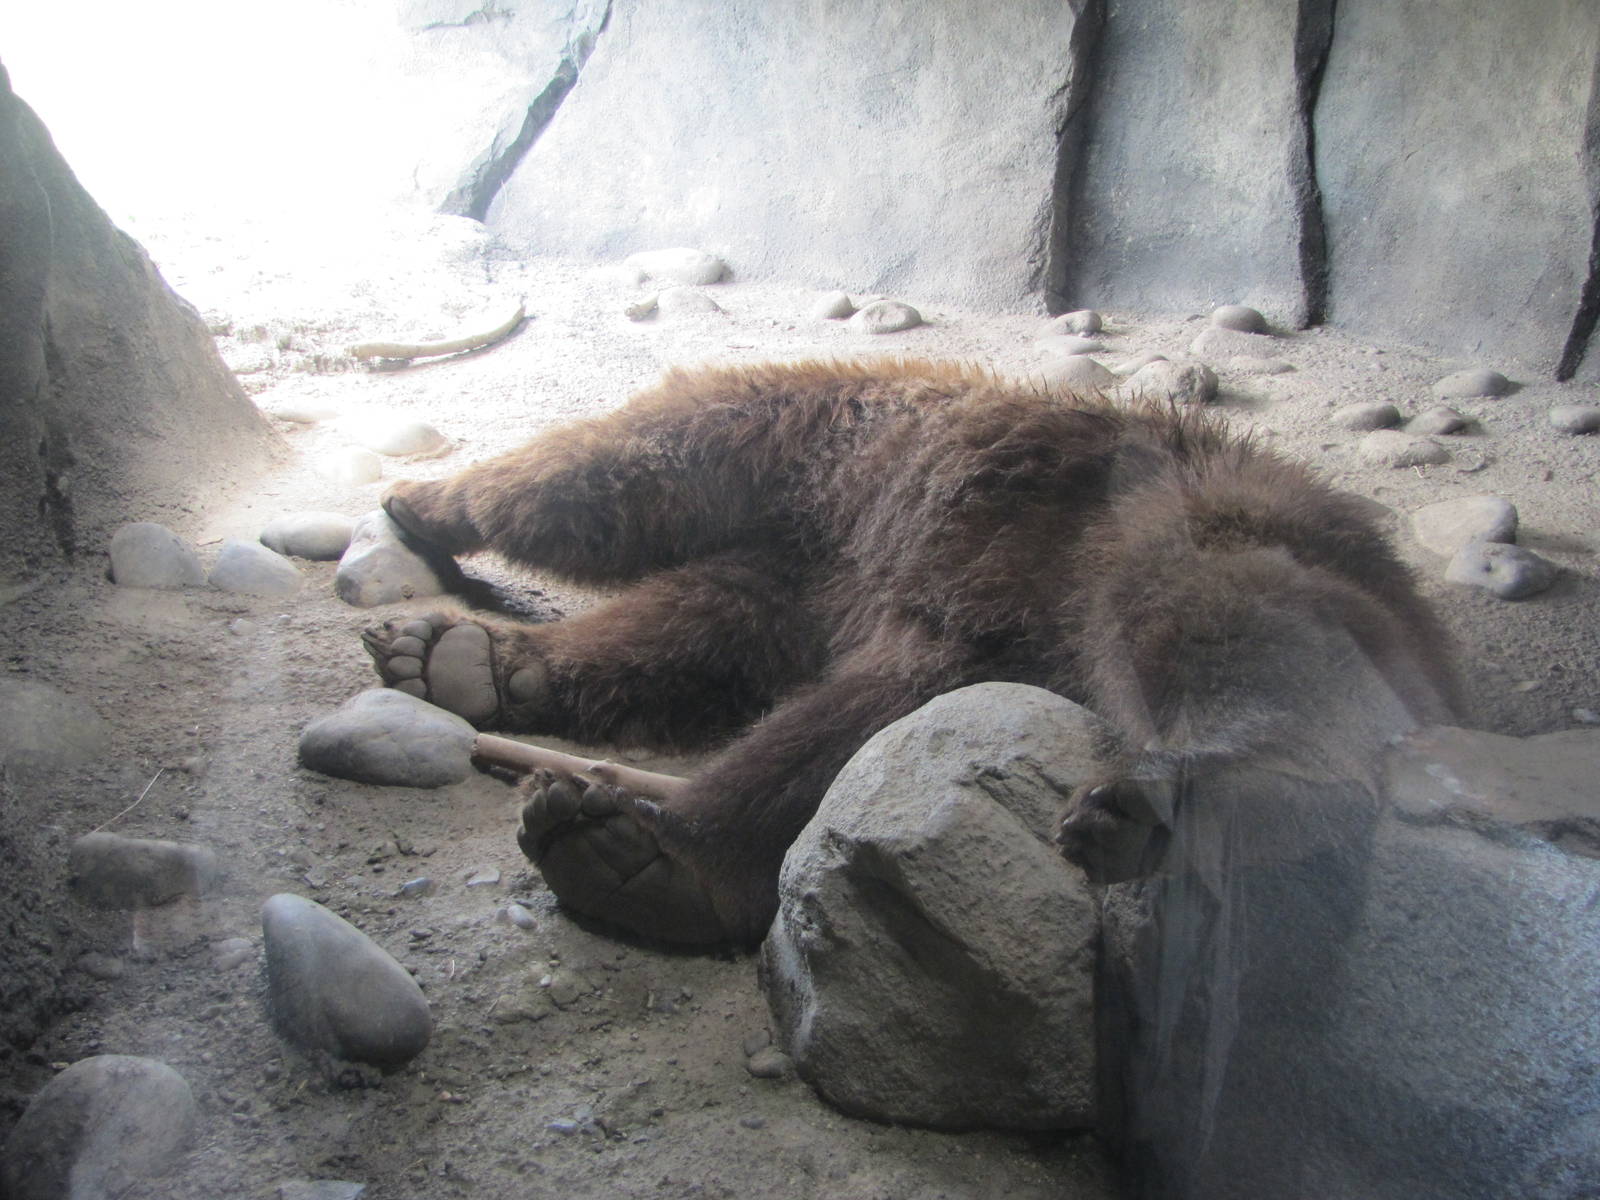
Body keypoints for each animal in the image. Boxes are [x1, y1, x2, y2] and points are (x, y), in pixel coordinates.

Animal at [360, 358, 1458, 944]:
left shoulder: (793, 484)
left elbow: (591, 487)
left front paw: (432, 500)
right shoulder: (826, 585)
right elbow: (701, 640)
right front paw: (468, 655)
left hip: (1175, 533)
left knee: (1208, 639)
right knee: (850, 729)